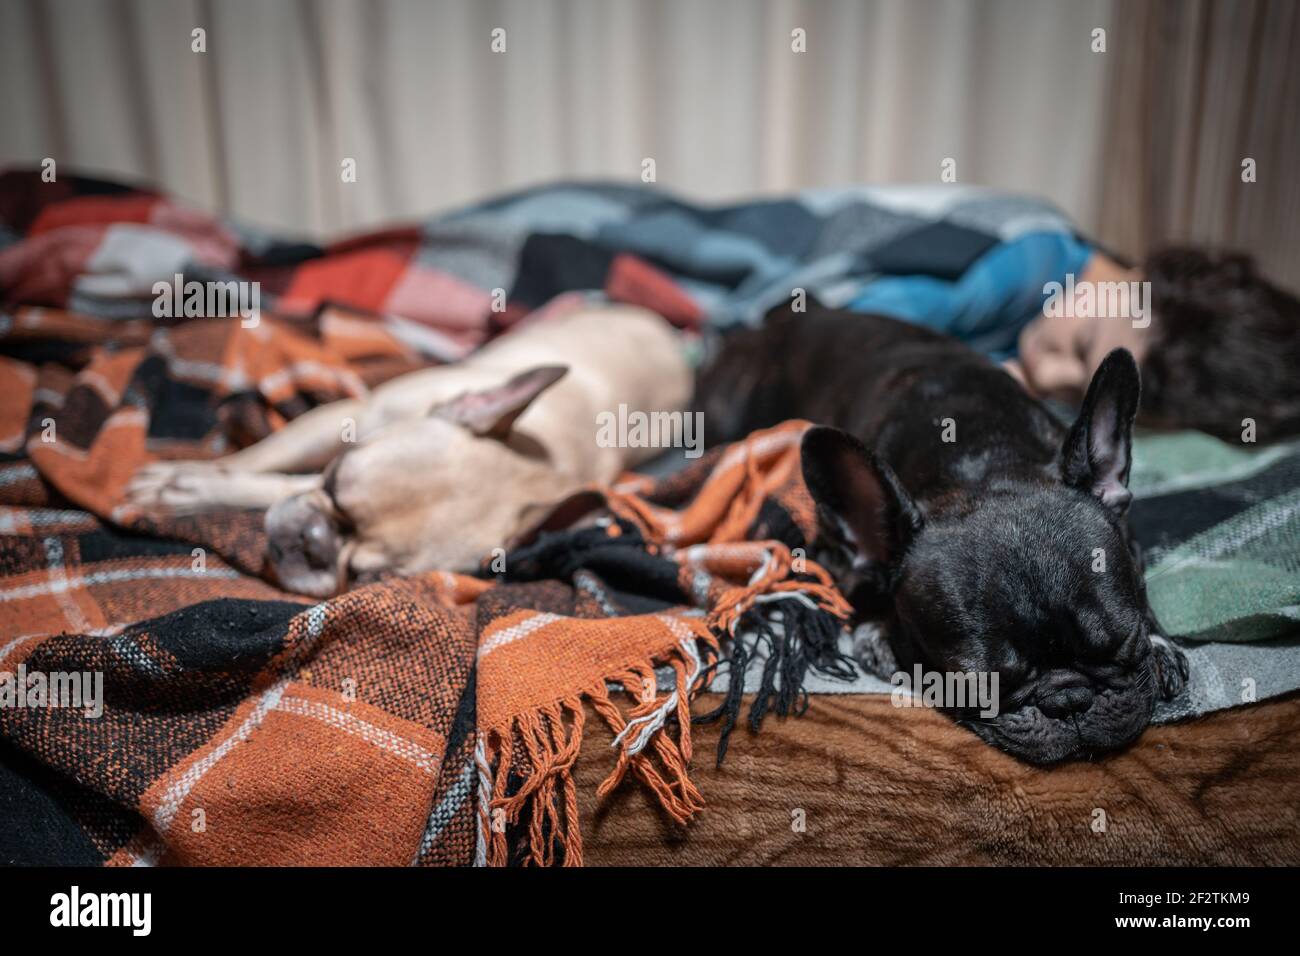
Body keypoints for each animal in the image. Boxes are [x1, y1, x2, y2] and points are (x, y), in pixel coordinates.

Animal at [128, 306, 696, 595]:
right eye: (335, 479)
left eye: (365, 576)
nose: (313, 543)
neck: (539, 455)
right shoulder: (350, 417)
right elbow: (263, 461)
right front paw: (194, 476)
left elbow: (272, 486)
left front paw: (187, 491)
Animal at [702, 308, 1190, 770]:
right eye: (978, 686)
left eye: (1124, 641)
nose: (1068, 699)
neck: (976, 464)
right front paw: (878, 636)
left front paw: (1160, 646)